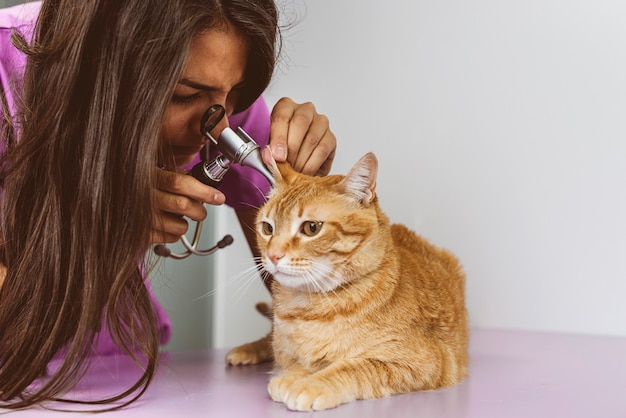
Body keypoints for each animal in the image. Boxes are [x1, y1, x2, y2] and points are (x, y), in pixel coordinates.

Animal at [227, 152, 466, 410]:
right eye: (267, 228)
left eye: (311, 228)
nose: (273, 255)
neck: (309, 310)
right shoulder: (287, 353)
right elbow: (298, 363)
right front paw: (291, 376)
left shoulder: (423, 362)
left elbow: (354, 367)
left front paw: (309, 384)